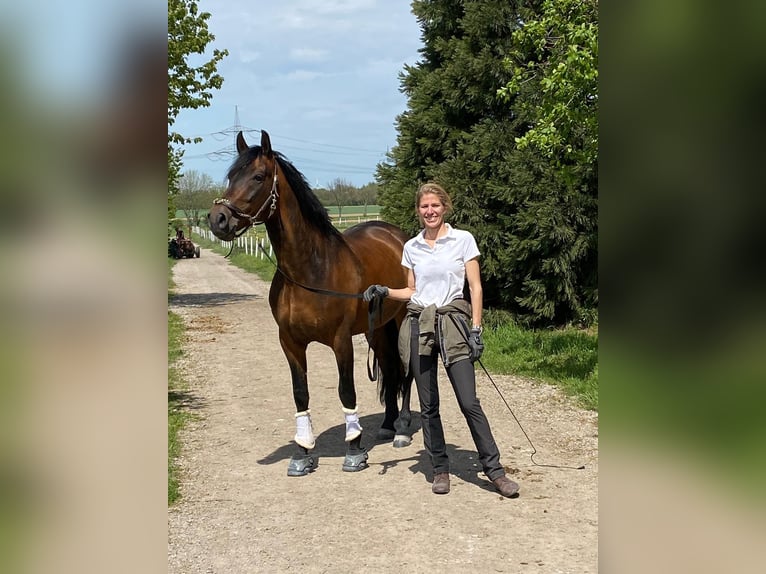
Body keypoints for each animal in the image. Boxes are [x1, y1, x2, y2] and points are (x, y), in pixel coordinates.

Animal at [207, 129, 414, 476]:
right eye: (231, 176)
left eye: (258, 176)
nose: (217, 220)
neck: (310, 270)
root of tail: (394, 234)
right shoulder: (290, 342)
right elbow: (300, 394)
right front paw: (302, 453)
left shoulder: (341, 341)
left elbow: (347, 390)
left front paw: (354, 450)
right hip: (376, 328)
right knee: (388, 366)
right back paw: (387, 425)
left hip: (400, 322)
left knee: (406, 371)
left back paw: (402, 430)